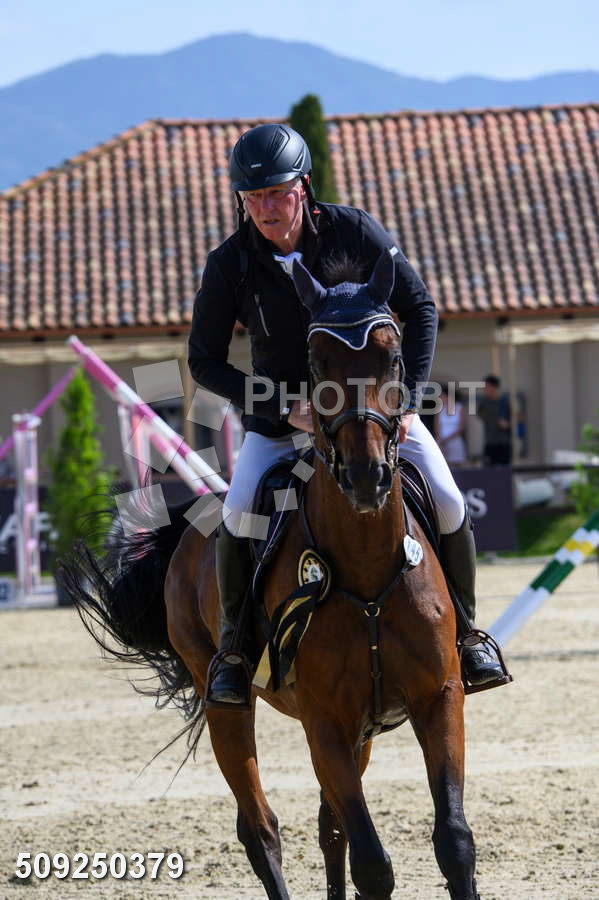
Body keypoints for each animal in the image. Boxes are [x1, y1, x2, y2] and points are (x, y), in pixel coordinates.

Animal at [61, 248, 481, 900]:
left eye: (392, 356)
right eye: (316, 362)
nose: (365, 476)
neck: (365, 566)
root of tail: (189, 527)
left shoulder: (437, 698)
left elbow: (453, 842)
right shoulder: (325, 722)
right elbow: (373, 864)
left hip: (361, 729)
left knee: (327, 826)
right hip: (226, 706)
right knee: (260, 827)